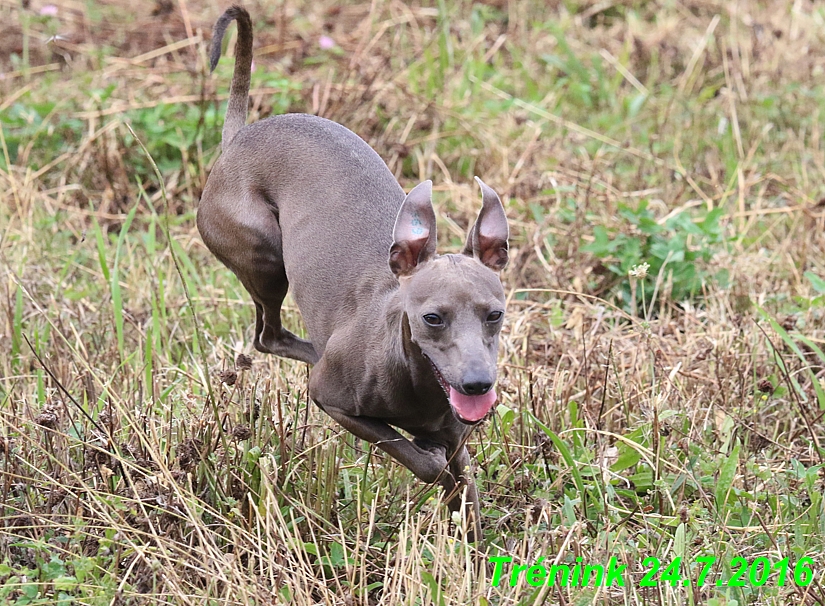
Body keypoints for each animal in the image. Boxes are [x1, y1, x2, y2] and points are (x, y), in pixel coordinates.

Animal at [200, 3, 508, 536]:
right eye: (432, 318)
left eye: (495, 315)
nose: (476, 385)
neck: (418, 382)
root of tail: (238, 139)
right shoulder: (332, 400)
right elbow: (418, 457)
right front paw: (424, 455)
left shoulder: (458, 436)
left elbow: (461, 487)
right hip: (263, 258)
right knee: (268, 336)